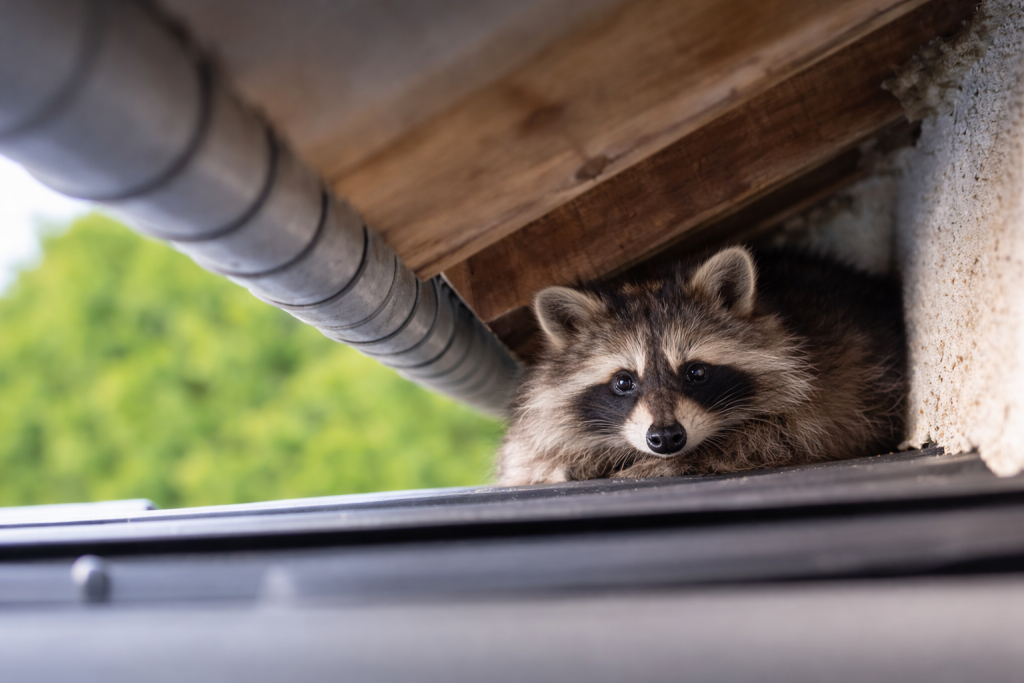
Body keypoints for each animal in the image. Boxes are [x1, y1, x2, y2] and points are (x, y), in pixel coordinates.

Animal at [496, 245, 906, 485]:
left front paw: (691, 457)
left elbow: (783, 437)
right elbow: (529, 461)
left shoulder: (834, 392)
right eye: (624, 382)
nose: (665, 439)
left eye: (695, 372)